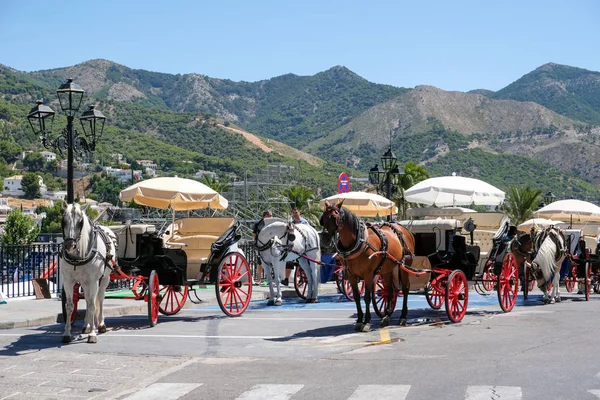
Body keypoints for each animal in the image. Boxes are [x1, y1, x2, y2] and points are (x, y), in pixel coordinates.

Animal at [61, 203, 117, 344]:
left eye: (80, 222)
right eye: (63, 221)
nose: (70, 245)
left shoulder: (93, 281)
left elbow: (92, 305)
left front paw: (92, 334)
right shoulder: (68, 281)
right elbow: (70, 306)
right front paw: (67, 333)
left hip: (104, 278)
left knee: (100, 298)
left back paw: (100, 324)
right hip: (85, 282)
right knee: (87, 299)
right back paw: (86, 325)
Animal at [322, 200, 414, 332]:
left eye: (335, 216)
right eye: (323, 217)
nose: (324, 238)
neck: (358, 242)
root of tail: (404, 229)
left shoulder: (368, 274)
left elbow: (367, 297)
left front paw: (366, 322)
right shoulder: (351, 275)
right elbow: (356, 296)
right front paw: (360, 320)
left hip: (405, 265)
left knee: (406, 288)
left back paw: (403, 317)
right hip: (387, 268)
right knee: (389, 290)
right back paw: (386, 316)